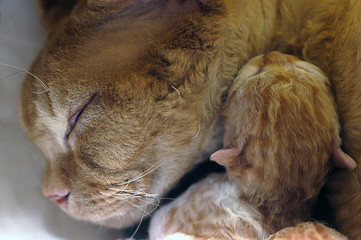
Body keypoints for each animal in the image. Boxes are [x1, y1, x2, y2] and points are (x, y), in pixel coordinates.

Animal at [148, 53, 352, 240]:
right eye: (301, 67)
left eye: (255, 72)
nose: (273, 54)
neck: (273, 202)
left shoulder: (183, 205)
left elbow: (157, 221)